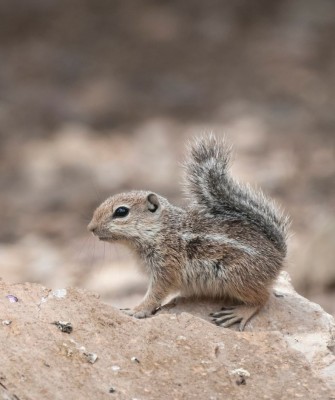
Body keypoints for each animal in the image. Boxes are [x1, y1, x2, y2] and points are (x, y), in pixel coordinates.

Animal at [88, 136, 288, 330]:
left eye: (121, 211)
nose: (91, 227)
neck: (161, 231)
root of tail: (279, 253)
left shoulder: (166, 268)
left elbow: (155, 294)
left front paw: (136, 310)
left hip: (237, 278)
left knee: (263, 298)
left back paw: (239, 313)